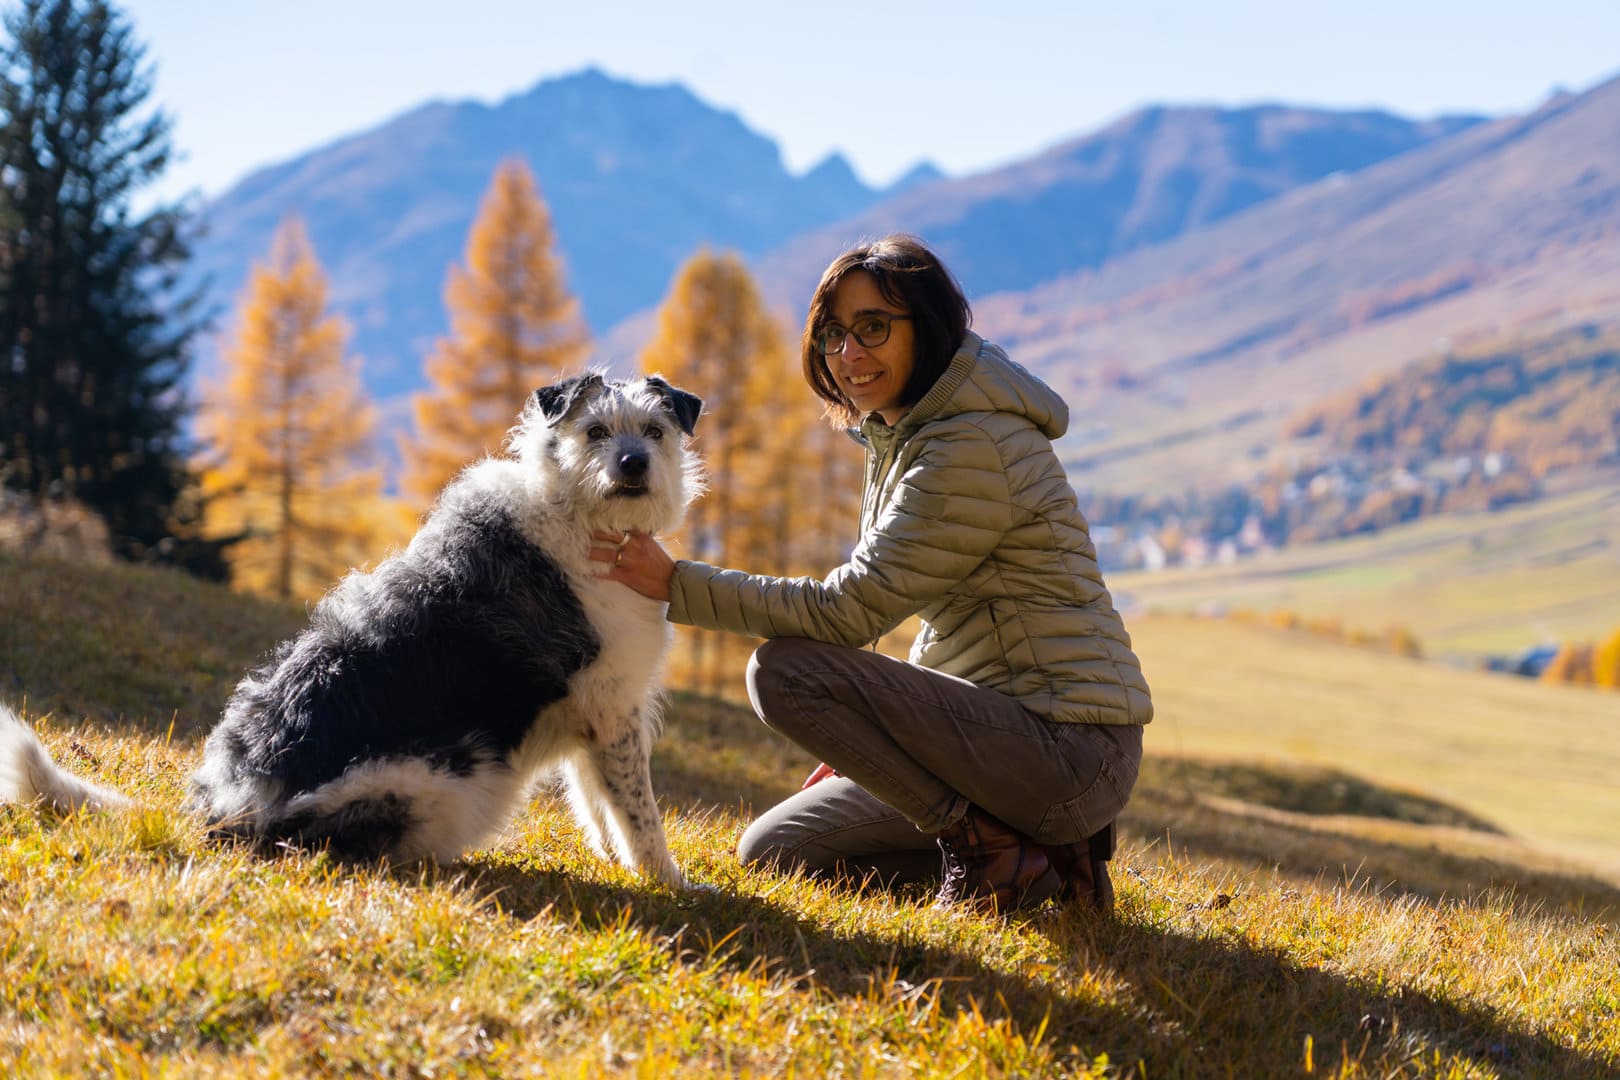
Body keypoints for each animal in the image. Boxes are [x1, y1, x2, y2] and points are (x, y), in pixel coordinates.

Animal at [4, 372, 703, 887]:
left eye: (654, 430)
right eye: (594, 431)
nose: (633, 464)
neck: (582, 519)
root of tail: (221, 810)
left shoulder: (599, 716)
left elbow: (602, 808)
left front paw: (624, 865)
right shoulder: (613, 709)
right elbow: (640, 814)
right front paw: (670, 882)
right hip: (446, 783)